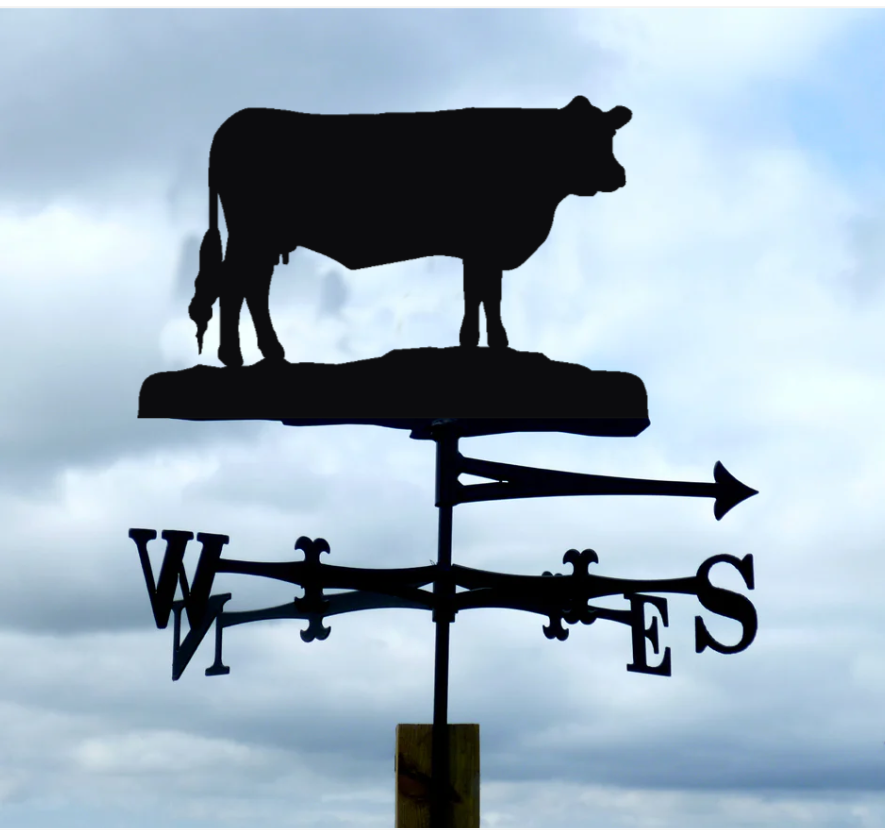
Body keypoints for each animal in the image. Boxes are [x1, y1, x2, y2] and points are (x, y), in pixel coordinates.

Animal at [188, 96, 632, 367]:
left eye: (608, 133)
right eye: (582, 137)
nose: (619, 175)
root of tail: (235, 122)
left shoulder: (480, 248)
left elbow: (482, 293)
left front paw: (481, 342)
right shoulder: (483, 243)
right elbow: (484, 293)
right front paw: (488, 344)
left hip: (264, 238)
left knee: (252, 286)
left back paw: (271, 353)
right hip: (252, 233)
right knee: (235, 284)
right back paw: (234, 356)